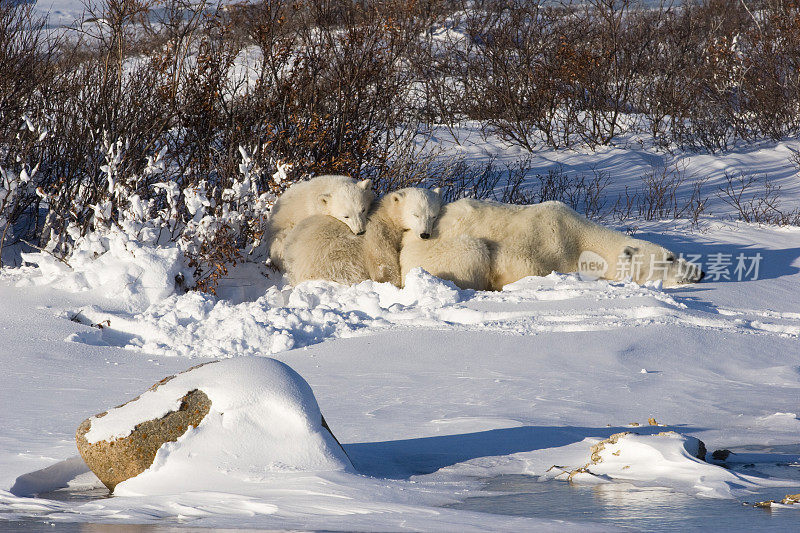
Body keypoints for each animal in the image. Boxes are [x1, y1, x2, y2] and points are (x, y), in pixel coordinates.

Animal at [282, 187, 444, 286]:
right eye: (415, 214)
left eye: (433, 215)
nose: (425, 234)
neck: (385, 214)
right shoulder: (377, 233)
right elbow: (383, 263)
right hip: (333, 259)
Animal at [404, 198, 704, 288]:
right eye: (669, 258)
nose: (700, 272)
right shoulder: (542, 240)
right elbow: (520, 265)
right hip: (438, 252)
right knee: (472, 250)